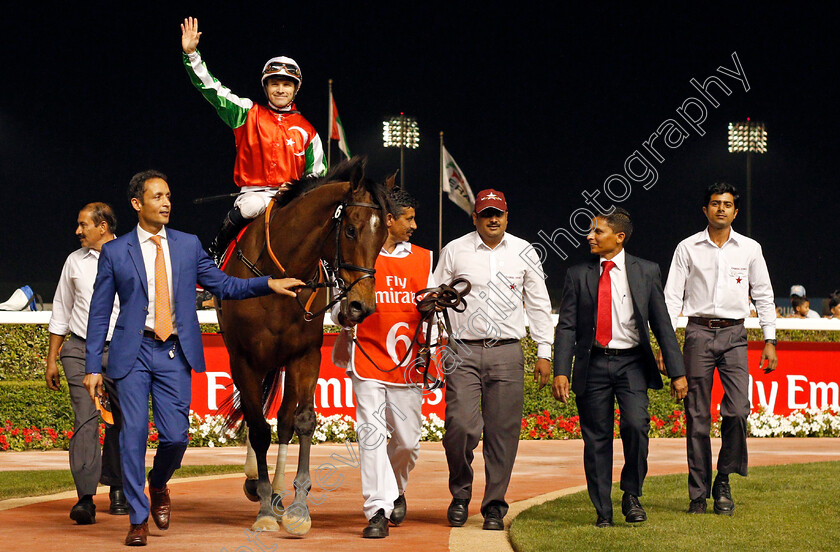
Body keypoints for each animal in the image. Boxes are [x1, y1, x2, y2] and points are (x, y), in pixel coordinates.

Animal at [218, 158, 392, 536]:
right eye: (351, 230)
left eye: (383, 235)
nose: (361, 306)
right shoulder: (244, 360)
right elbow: (258, 428)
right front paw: (263, 508)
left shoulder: (305, 355)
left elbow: (303, 421)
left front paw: (298, 506)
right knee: (258, 418)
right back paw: (259, 485)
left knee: (283, 420)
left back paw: (278, 492)